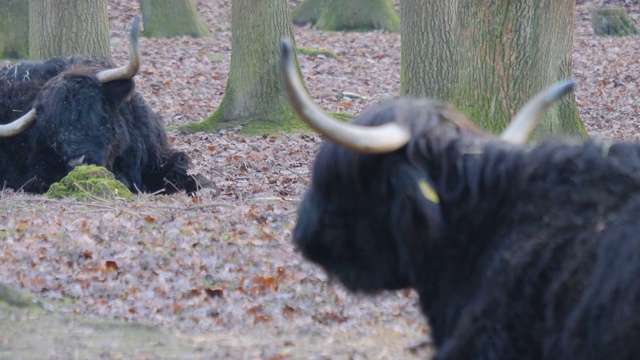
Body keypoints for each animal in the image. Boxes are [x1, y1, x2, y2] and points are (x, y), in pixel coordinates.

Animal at [0, 17, 205, 194]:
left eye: (92, 109)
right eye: (52, 130)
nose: (78, 161)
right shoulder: (37, 174)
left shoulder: (158, 156)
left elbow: (181, 166)